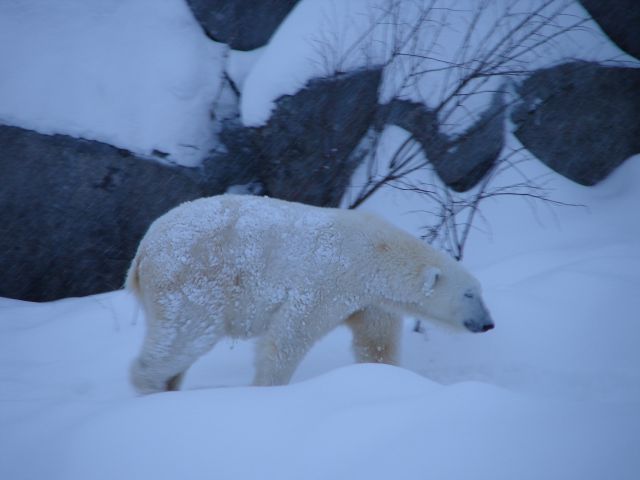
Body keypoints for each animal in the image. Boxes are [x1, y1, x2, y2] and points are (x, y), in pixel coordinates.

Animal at [126, 193, 496, 392]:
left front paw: (386, 375)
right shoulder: (327, 279)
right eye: (469, 294)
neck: (375, 250)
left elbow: (376, 342)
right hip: (192, 279)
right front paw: (266, 389)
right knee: (185, 335)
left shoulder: (369, 300)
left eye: (479, 291)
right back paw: (153, 385)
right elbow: (289, 336)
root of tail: (144, 249)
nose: (488, 323)